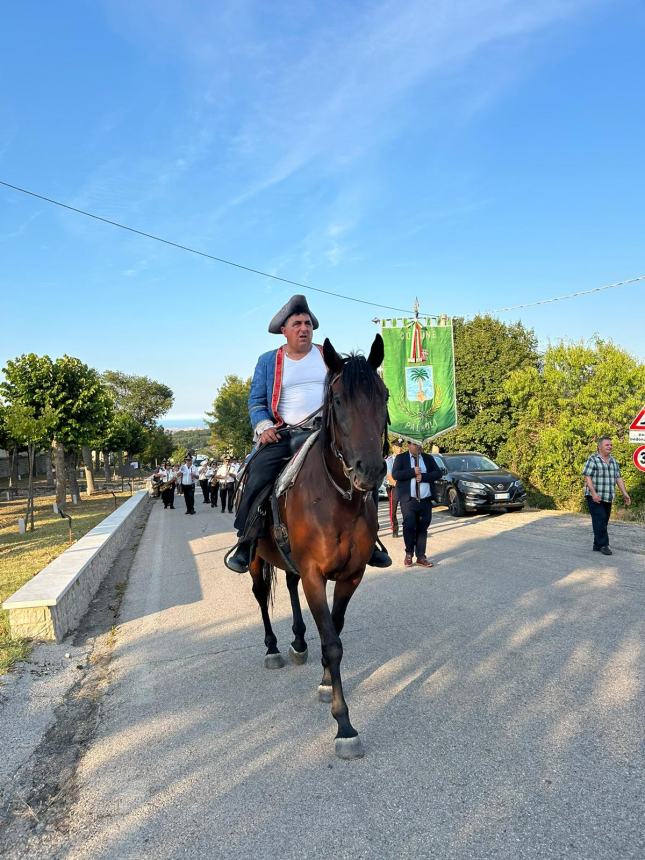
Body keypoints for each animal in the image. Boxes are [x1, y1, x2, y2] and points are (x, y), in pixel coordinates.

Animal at [248, 336, 388, 760]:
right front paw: (344, 725)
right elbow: (332, 640)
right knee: (261, 594)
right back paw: (274, 649)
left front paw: (327, 682)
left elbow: (335, 631)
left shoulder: (350, 574)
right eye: (338, 400)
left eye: (384, 395)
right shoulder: (314, 574)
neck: (336, 499)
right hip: (256, 560)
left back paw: (296, 642)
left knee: (290, 588)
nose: (370, 471)